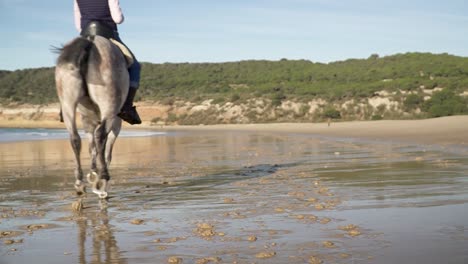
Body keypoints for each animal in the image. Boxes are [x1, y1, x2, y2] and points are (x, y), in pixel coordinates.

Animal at [56, 36, 129, 199]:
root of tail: (90, 41)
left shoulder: (88, 122)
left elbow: (92, 149)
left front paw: (93, 173)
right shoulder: (115, 124)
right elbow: (106, 151)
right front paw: (99, 177)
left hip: (68, 103)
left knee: (74, 139)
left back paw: (79, 182)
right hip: (109, 106)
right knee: (100, 135)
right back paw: (103, 179)